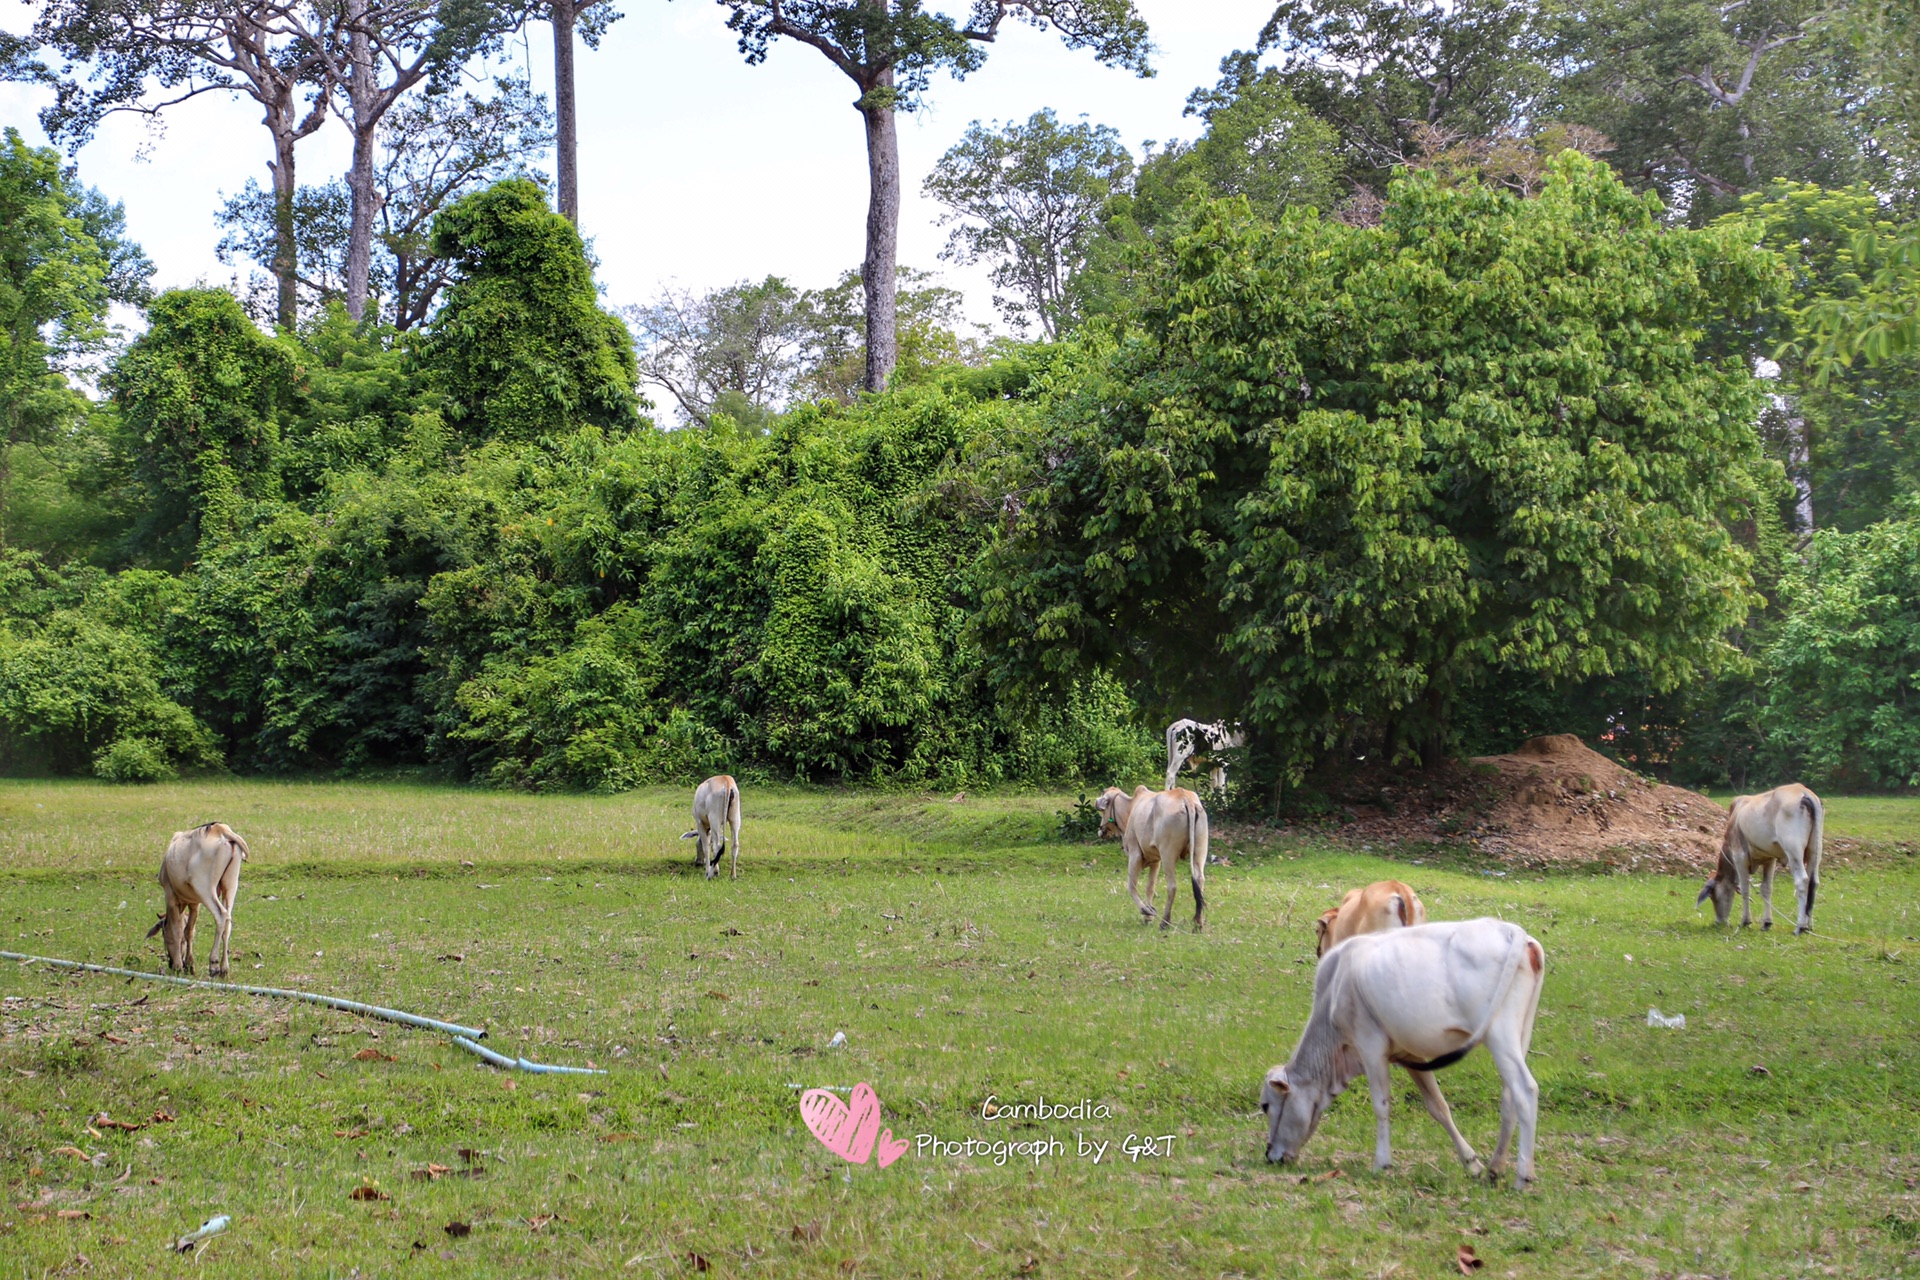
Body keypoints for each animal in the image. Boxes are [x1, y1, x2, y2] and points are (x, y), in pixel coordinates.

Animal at [144, 821, 249, 982]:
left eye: (164, 936)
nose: (170, 963)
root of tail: (220, 829)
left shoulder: (170, 896)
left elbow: (177, 930)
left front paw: (179, 966)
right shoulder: (194, 904)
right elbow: (189, 931)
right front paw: (189, 964)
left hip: (204, 888)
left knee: (221, 915)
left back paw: (213, 964)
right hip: (231, 885)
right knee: (228, 920)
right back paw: (224, 968)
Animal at [1259, 921, 1543, 1189]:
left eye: (1265, 1106)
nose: (1270, 1155)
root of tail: (1511, 931)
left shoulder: (1370, 1045)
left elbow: (1381, 1104)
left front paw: (1381, 1163)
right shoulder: (1412, 1058)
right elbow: (1438, 1107)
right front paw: (1471, 1164)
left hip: (1499, 1034)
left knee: (1525, 1089)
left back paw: (1523, 1177)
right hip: (1521, 1034)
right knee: (1509, 1097)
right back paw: (1495, 1169)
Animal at [1704, 782, 1820, 932]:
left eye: (1713, 896)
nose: (1719, 921)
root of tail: (1803, 792)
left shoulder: (1739, 856)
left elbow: (1745, 888)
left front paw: (1745, 921)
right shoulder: (1769, 859)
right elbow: (1766, 889)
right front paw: (1766, 922)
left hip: (1794, 850)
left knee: (1802, 880)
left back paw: (1800, 926)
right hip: (1814, 849)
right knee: (1813, 882)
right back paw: (1809, 925)